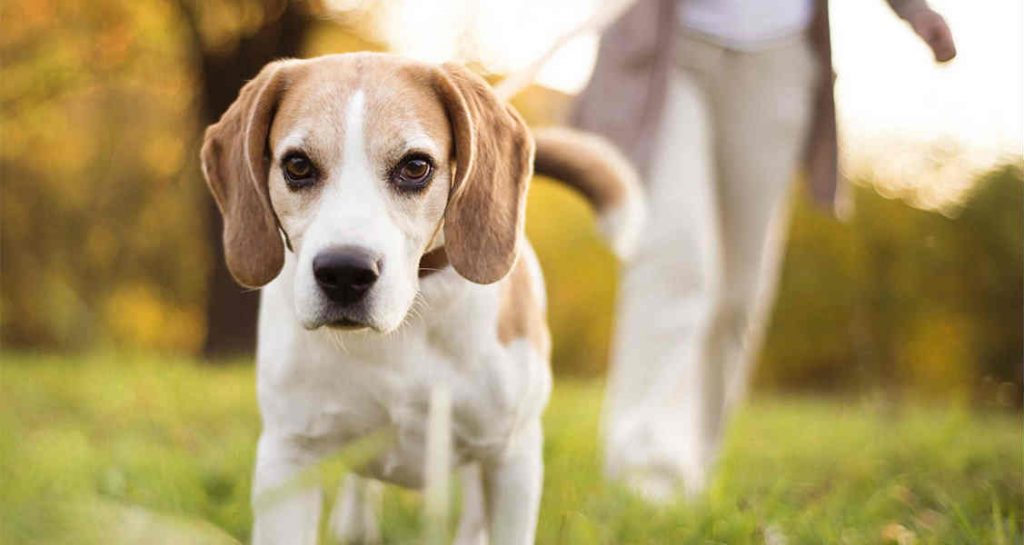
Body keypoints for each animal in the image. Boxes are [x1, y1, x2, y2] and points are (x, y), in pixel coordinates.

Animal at [201, 52, 638, 545]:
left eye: (414, 167)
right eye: (297, 165)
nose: (344, 272)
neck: (407, 322)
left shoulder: (512, 458)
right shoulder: (288, 457)